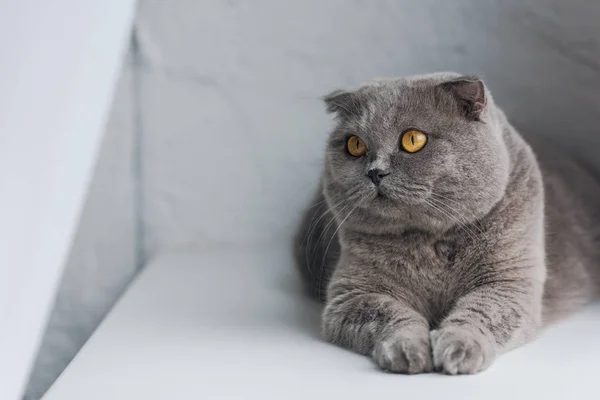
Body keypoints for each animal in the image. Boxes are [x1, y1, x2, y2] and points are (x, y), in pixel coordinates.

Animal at [294, 72, 600, 376]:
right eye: (355, 145)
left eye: (413, 140)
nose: (374, 172)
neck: (432, 240)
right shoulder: (352, 293)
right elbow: (387, 314)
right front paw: (409, 350)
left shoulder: (508, 282)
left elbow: (481, 314)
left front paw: (459, 350)